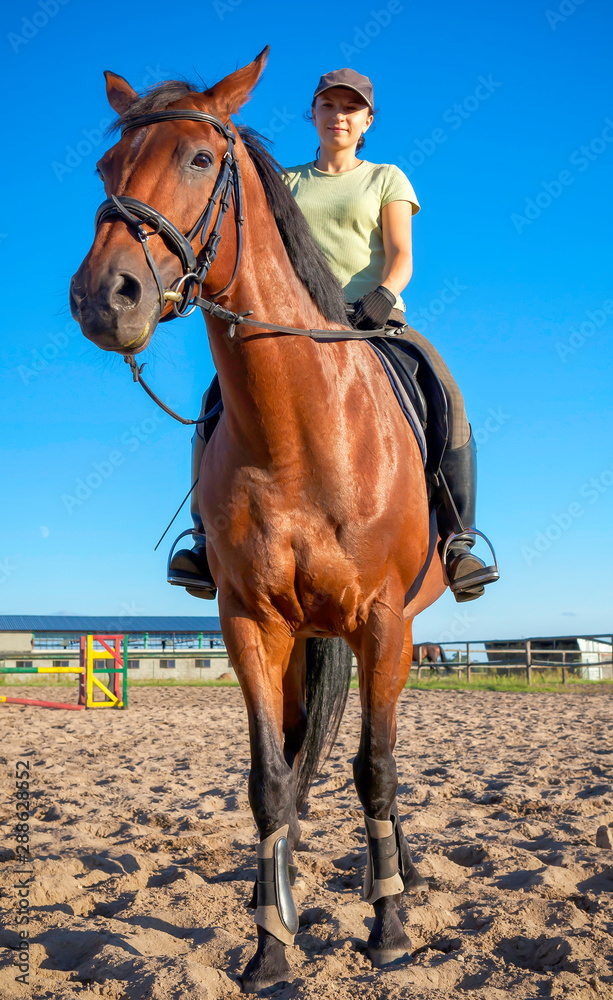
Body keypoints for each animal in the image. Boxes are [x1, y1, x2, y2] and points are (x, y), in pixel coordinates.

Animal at [70, 52, 444, 992]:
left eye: (202, 159)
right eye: (105, 169)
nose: (103, 298)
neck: (302, 429)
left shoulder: (382, 624)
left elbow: (377, 771)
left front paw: (389, 927)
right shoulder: (250, 621)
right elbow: (270, 779)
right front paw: (272, 943)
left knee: (375, 759)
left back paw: (399, 877)